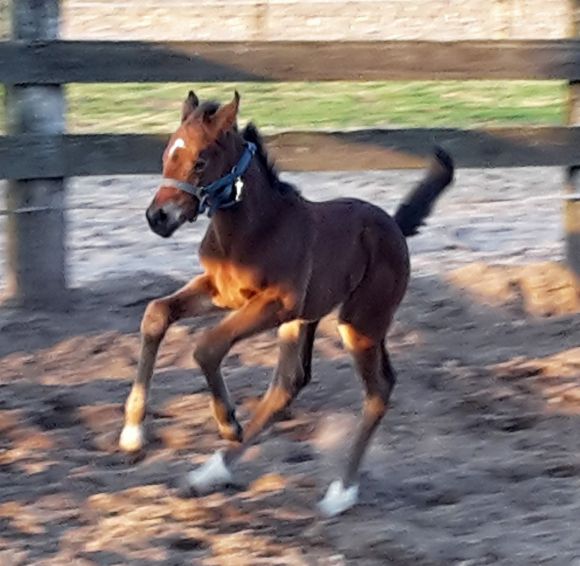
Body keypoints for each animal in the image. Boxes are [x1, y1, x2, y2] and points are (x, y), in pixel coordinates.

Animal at [119, 92, 454, 520]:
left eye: (199, 161)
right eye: (166, 156)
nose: (157, 217)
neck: (253, 229)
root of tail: (395, 226)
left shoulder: (277, 304)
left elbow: (208, 346)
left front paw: (228, 422)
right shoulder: (221, 292)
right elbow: (156, 314)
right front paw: (131, 434)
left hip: (359, 320)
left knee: (376, 389)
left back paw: (339, 491)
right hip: (311, 320)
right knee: (291, 383)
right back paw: (213, 471)